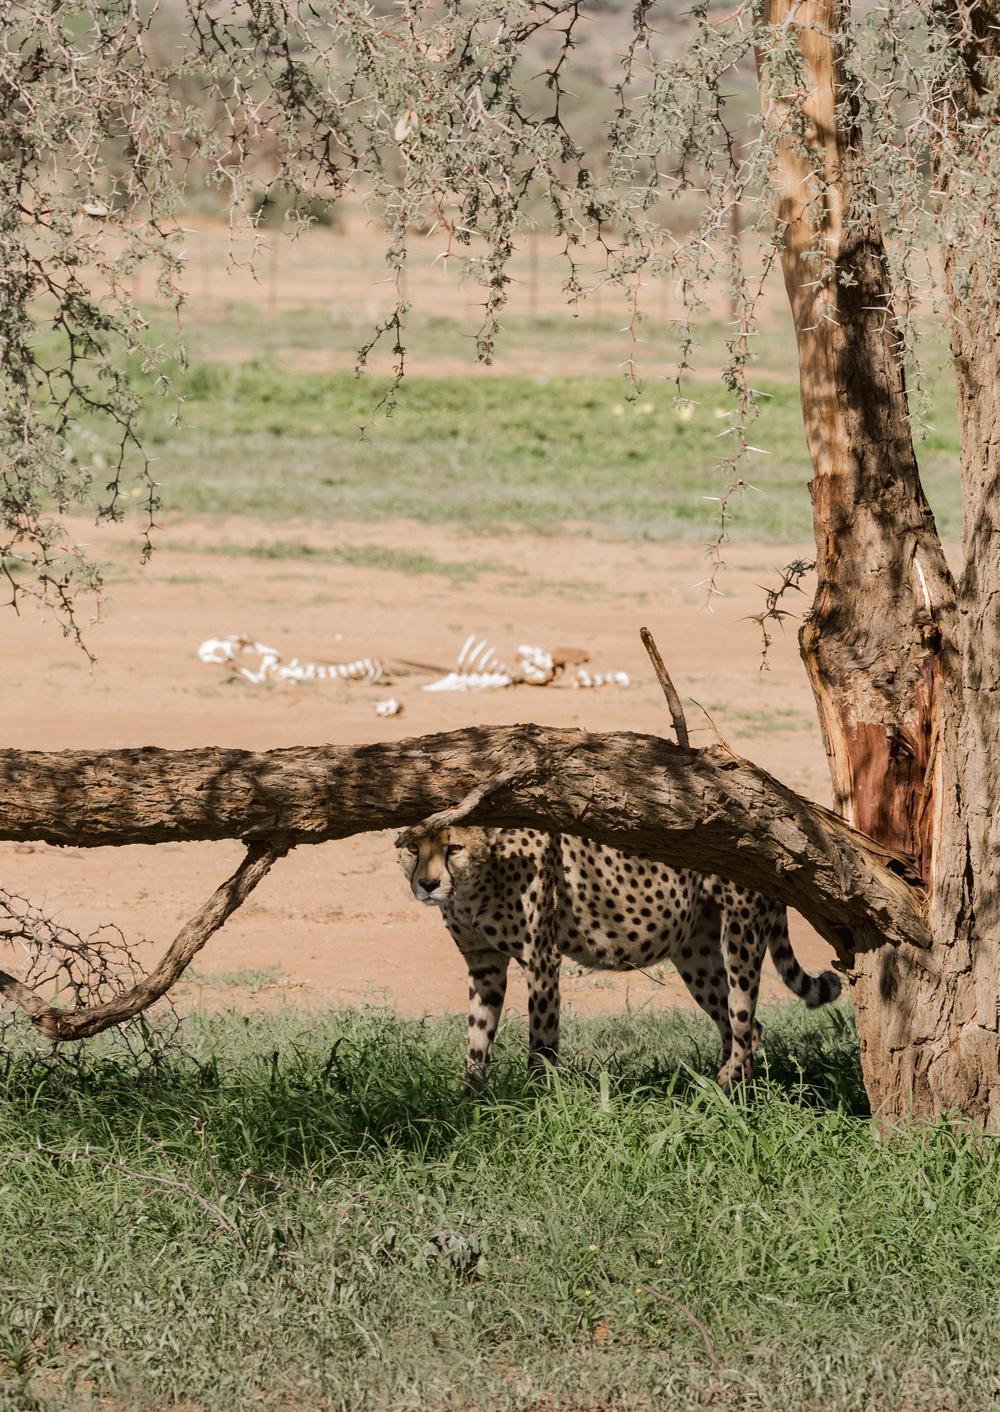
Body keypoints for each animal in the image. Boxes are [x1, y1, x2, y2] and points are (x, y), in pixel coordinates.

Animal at [395, 824, 841, 1090]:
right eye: (413, 847)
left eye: (454, 847)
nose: (428, 885)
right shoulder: (483, 962)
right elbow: (477, 1039)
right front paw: (469, 1099)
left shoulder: (542, 959)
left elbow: (542, 1040)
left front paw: (537, 1097)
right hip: (694, 953)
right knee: (741, 1026)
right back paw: (731, 1095)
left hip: (741, 935)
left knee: (744, 1019)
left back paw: (726, 1088)